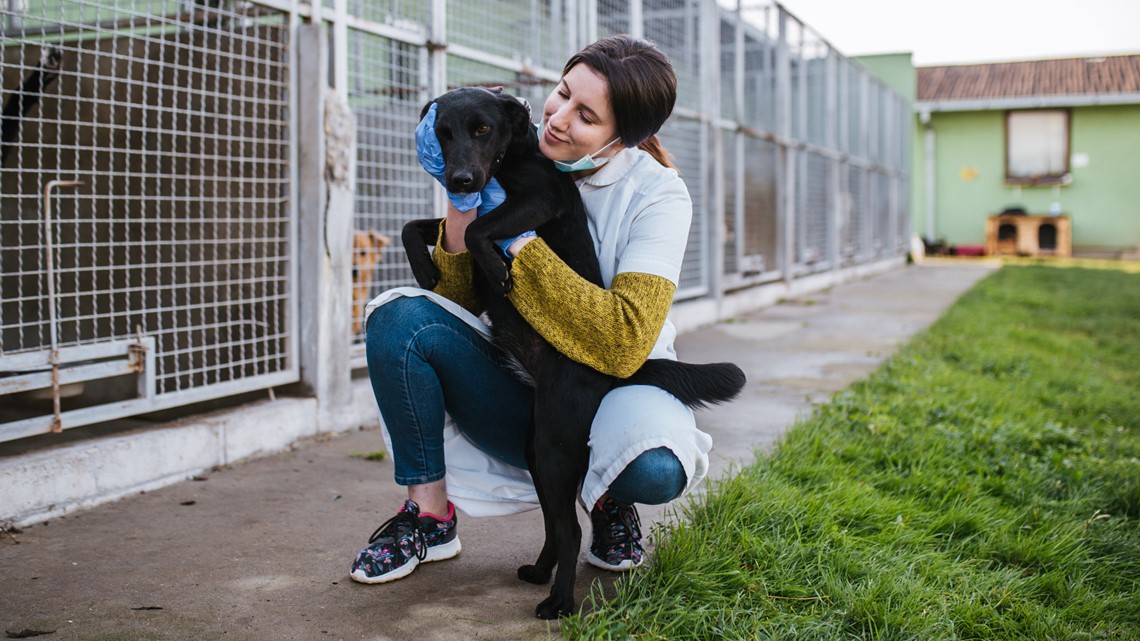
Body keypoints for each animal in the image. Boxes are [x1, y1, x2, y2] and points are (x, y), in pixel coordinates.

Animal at [403, 87, 747, 615]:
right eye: (441, 133)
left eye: (482, 129)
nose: (460, 181)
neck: (512, 158)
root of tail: (610, 373)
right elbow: (420, 226)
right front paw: (426, 268)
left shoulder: (538, 199)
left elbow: (481, 229)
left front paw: (497, 267)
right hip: (539, 448)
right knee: (555, 523)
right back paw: (540, 572)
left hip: (553, 445)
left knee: (569, 529)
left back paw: (560, 602)